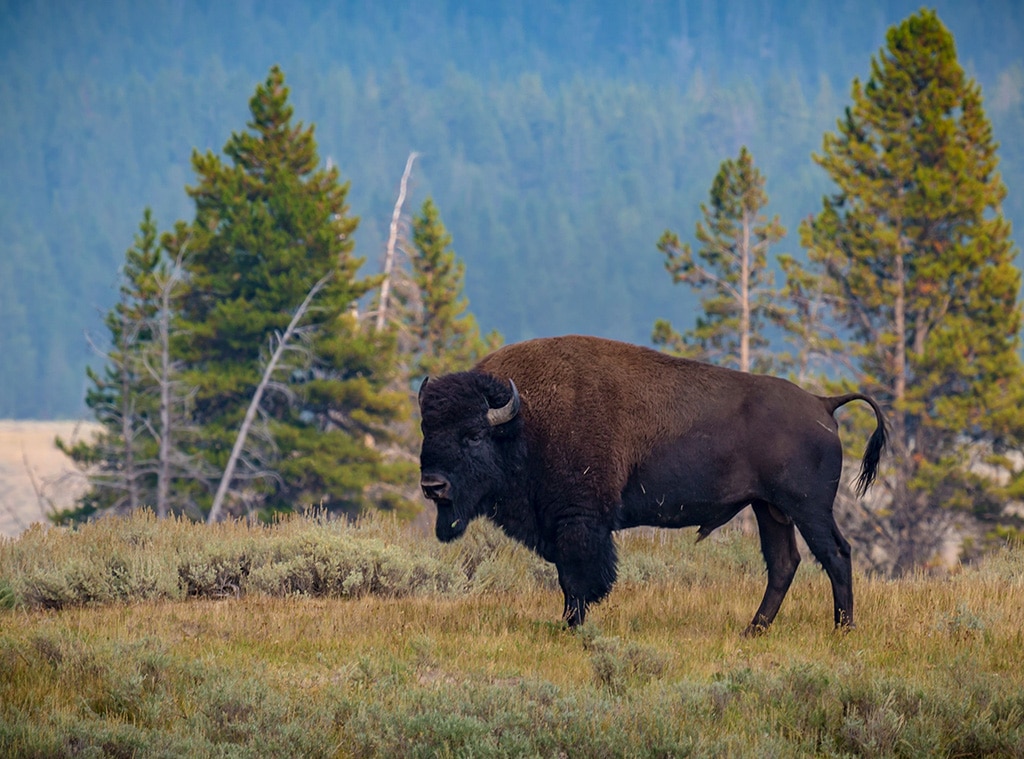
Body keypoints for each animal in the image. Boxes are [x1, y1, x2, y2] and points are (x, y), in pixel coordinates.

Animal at [418, 335, 886, 634]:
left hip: (808, 508)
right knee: (784, 563)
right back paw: (752, 630)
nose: (432, 485)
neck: (523, 422)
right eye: (427, 429)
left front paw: (571, 627)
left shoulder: (578, 521)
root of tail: (823, 404)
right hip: (769, 509)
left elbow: (577, 578)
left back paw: (843, 630)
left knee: (836, 554)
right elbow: (569, 577)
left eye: (473, 435)